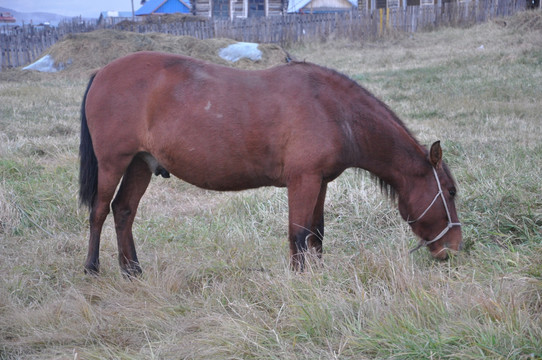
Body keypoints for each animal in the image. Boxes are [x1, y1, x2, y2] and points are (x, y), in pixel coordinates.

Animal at [79, 51, 464, 276]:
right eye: (450, 191)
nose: (454, 249)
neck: (333, 110)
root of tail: (101, 72)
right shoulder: (303, 180)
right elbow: (299, 233)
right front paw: (300, 280)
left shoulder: (320, 182)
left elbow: (316, 232)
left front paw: (318, 276)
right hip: (114, 163)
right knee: (99, 211)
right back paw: (92, 267)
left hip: (140, 164)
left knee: (124, 210)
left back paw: (132, 269)